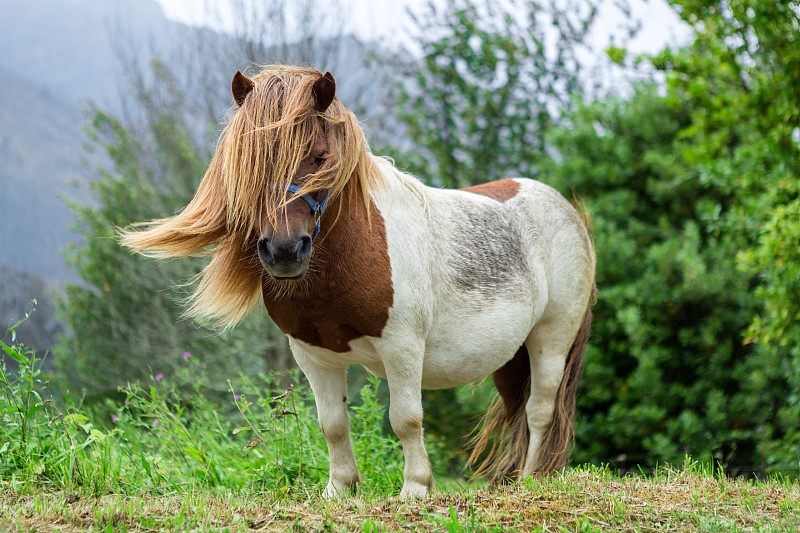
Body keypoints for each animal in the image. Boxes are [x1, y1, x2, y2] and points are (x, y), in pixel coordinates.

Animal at [119, 64, 592, 496]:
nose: (285, 251)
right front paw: (341, 487)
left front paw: (415, 488)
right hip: (509, 356)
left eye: (319, 158)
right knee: (517, 411)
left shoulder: (402, 347)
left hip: (550, 341)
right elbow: (332, 424)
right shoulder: (313, 356)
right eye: (250, 160)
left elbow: (406, 420)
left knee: (539, 410)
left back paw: (529, 482)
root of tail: (565, 209)